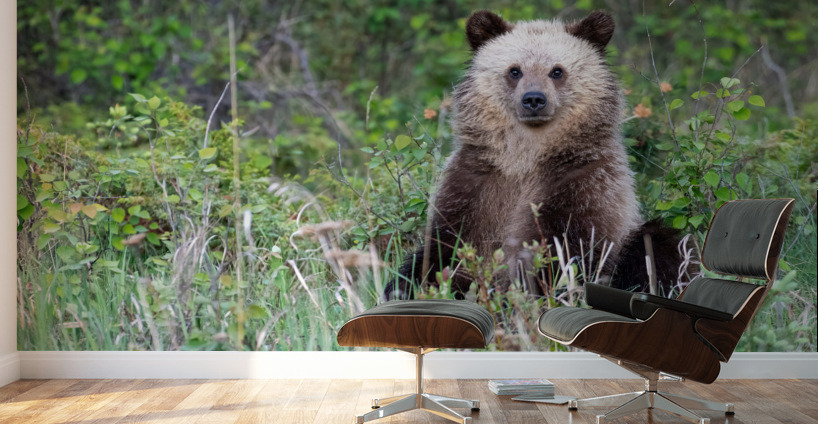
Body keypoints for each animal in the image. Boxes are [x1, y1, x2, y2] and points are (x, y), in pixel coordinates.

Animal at [385, 10, 688, 300]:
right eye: (514, 70)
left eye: (557, 71)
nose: (533, 99)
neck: (525, 156)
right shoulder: (475, 185)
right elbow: (444, 246)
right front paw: (402, 287)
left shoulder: (583, 184)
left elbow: (560, 250)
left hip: (637, 240)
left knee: (660, 246)